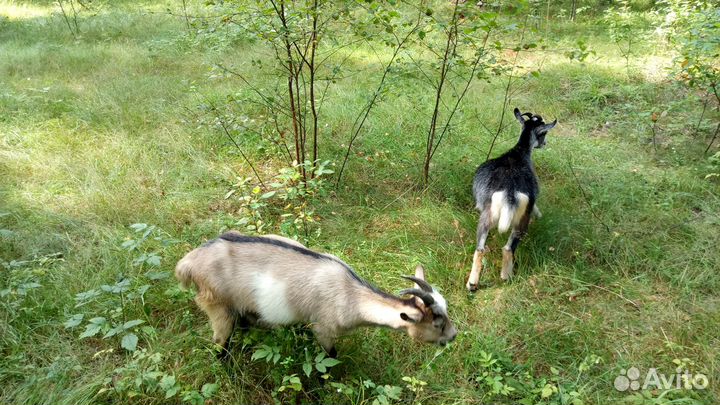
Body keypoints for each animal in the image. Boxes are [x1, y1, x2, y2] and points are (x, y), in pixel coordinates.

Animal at [175, 232, 457, 357]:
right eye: (437, 323)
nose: (454, 335)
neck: (350, 294)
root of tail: (189, 263)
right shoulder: (323, 329)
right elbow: (330, 359)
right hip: (217, 305)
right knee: (220, 344)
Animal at [466, 108, 556, 290]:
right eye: (544, 133)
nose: (544, 144)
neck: (518, 152)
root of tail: (510, 193)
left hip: (488, 215)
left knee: (483, 248)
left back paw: (473, 283)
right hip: (521, 219)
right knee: (507, 248)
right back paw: (505, 277)